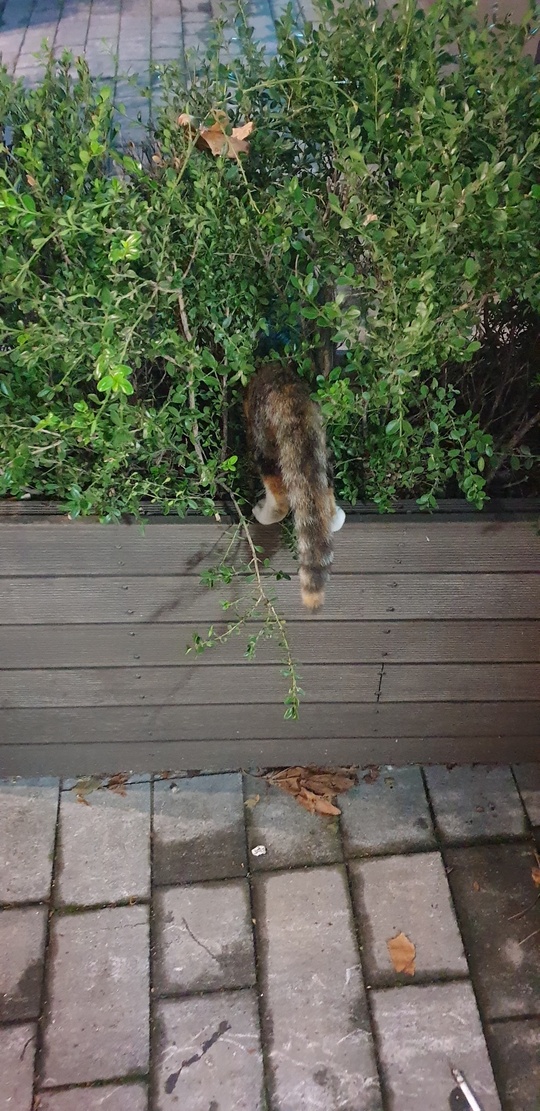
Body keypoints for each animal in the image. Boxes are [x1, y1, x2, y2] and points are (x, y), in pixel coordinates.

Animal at [244, 361, 345, 611]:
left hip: (264, 440)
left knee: (279, 497)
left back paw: (263, 511)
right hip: (320, 450)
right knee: (325, 493)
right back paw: (335, 516)